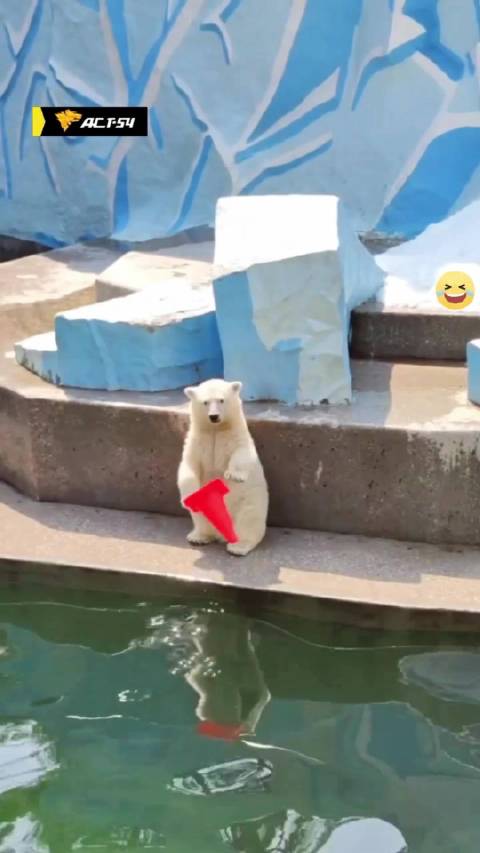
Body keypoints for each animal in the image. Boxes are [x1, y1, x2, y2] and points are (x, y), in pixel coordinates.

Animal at [177, 378, 269, 556]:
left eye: (221, 400)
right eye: (205, 402)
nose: (214, 416)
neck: (216, 430)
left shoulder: (237, 436)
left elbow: (242, 453)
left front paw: (235, 476)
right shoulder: (197, 441)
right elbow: (188, 465)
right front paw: (187, 498)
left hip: (250, 500)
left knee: (249, 519)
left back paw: (238, 546)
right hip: (206, 505)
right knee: (200, 515)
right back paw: (198, 537)